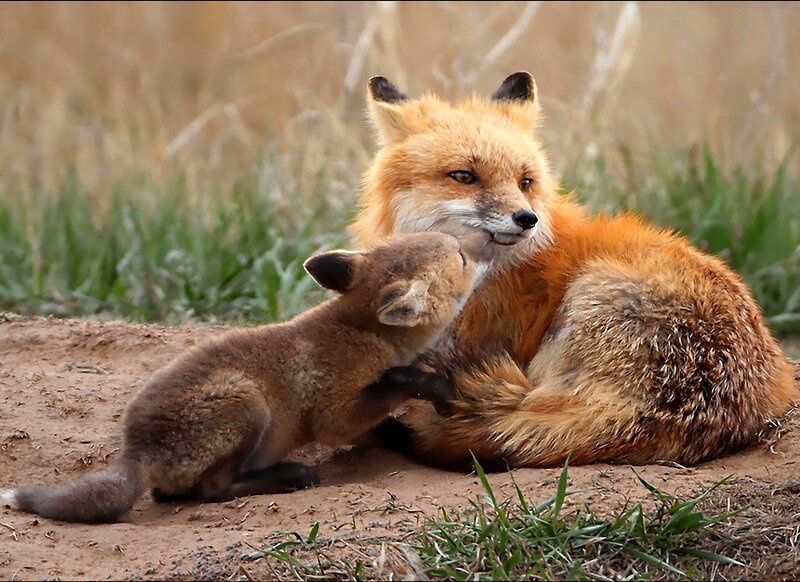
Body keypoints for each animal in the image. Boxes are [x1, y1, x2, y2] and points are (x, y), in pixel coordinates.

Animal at [0, 231, 487, 523]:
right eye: (462, 257)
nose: (489, 234)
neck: (363, 332)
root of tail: (135, 451)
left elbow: (385, 425)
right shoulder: (334, 413)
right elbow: (395, 384)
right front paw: (434, 388)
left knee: (169, 495)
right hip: (246, 404)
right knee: (213, 490)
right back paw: (289, 475)